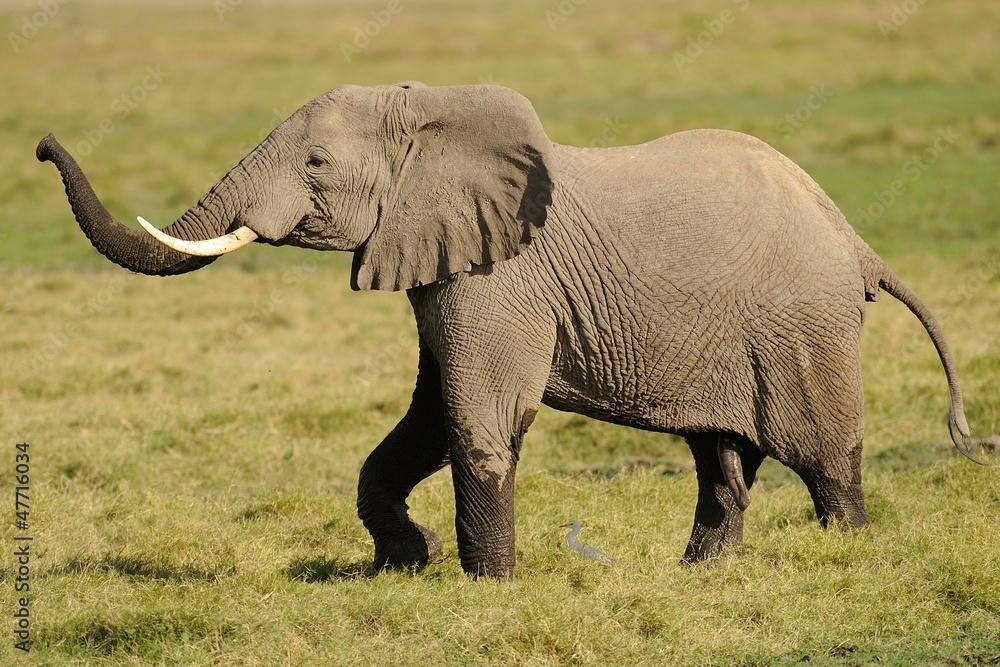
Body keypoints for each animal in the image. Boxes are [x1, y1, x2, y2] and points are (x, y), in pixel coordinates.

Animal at [37, 82, 983, 580]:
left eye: (315, 163)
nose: (43, 144)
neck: (428, 115)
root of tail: (855, 239)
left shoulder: (497, 279)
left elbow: (475, 415)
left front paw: (484, 584)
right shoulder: (445, 263)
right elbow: (421, 422)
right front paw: (406, 563)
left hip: (802, 321)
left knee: (821, 454)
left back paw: (848, 554)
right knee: (723, 458)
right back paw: (700, 573)